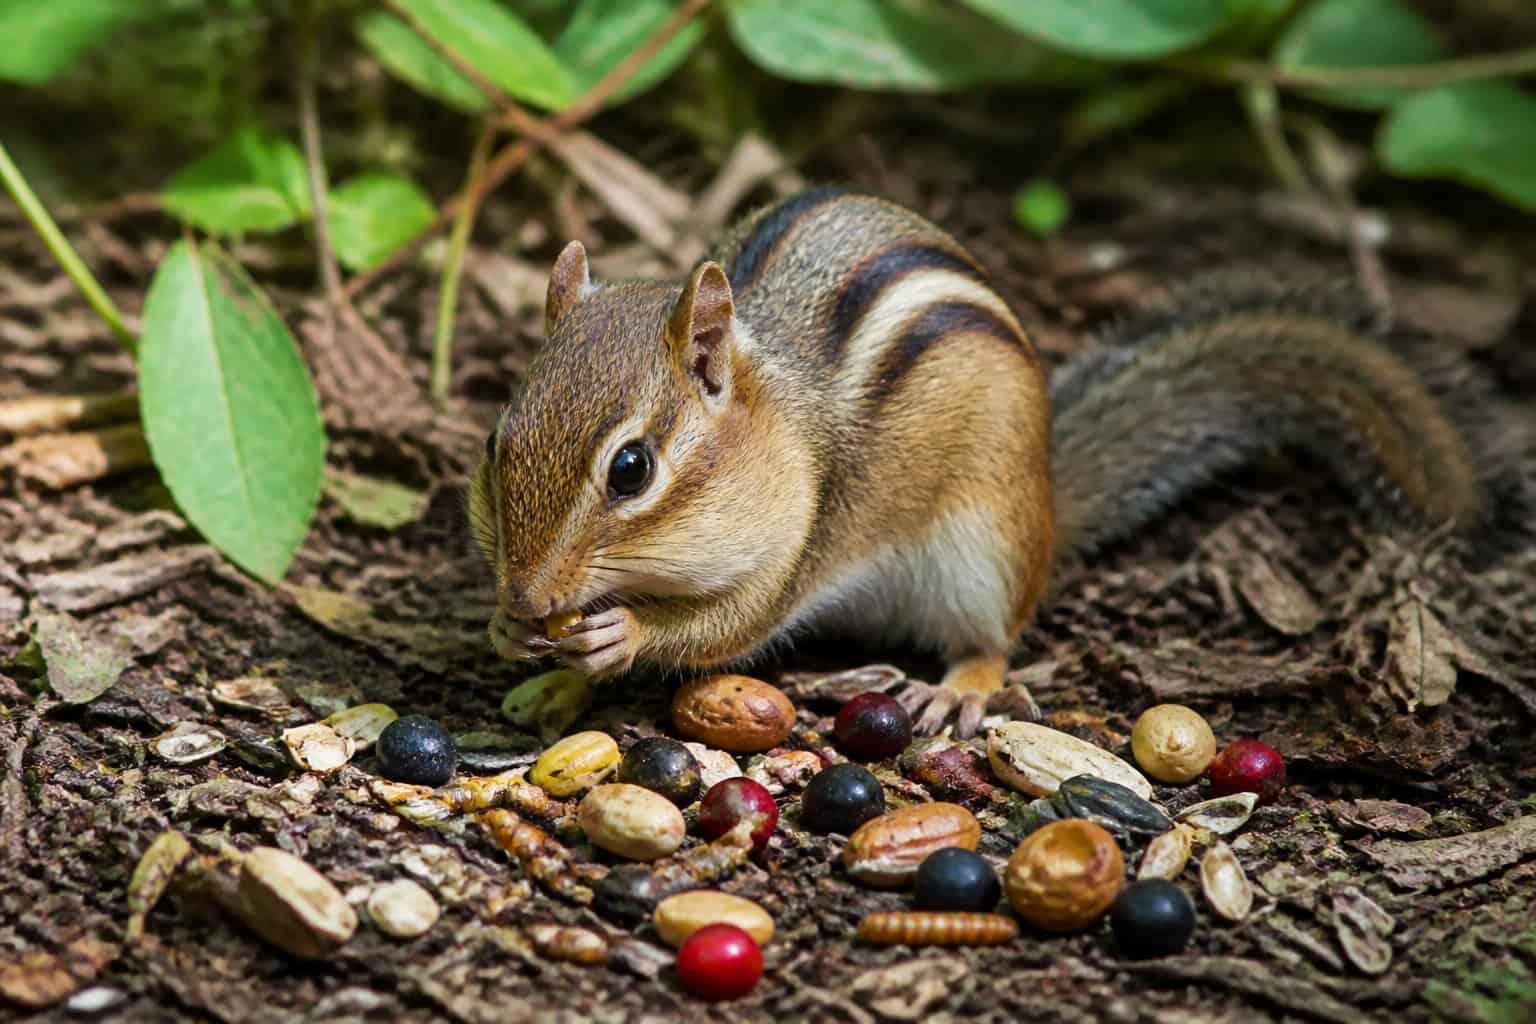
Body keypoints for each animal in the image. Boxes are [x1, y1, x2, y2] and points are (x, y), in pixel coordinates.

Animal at [468, 185, 1524, 738]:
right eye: (493, 441)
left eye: (632, 469)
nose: (527, 596)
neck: (776, 426)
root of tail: (1051, 496)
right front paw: (509, 632)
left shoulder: (800, 540)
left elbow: (729, 624)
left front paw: (623, 632)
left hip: (983, 548)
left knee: (992, 638)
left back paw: (951, 689)